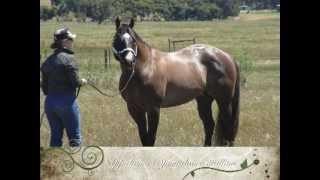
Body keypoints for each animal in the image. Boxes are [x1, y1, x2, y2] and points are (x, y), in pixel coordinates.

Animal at [111, 16, 239, 146]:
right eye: (117, 39)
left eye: (133, 40)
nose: (129, 62)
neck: (146, 68)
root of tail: (227, 56)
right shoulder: (135, 109)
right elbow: (144, 139)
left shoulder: (153, 108)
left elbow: (151, 138)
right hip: (204, 100)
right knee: (209, 125)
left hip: (224, 101)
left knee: (228, 127)